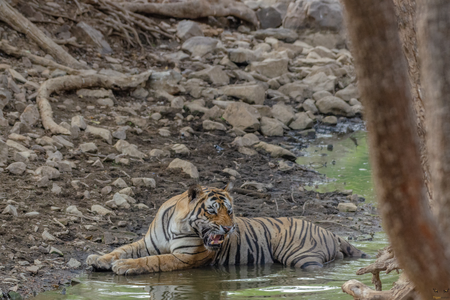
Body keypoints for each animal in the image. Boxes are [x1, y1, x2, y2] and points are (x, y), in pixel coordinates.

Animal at [86, 183, 368, 274]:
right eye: (212, 211)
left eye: (230, 211)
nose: (230, 228)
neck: (176, 225)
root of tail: (330, 231)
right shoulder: (146, 243)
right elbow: (121, 249)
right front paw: (97, 258)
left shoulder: (185, 257)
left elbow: (153, 261)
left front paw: (124, 267)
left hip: (300, 257)